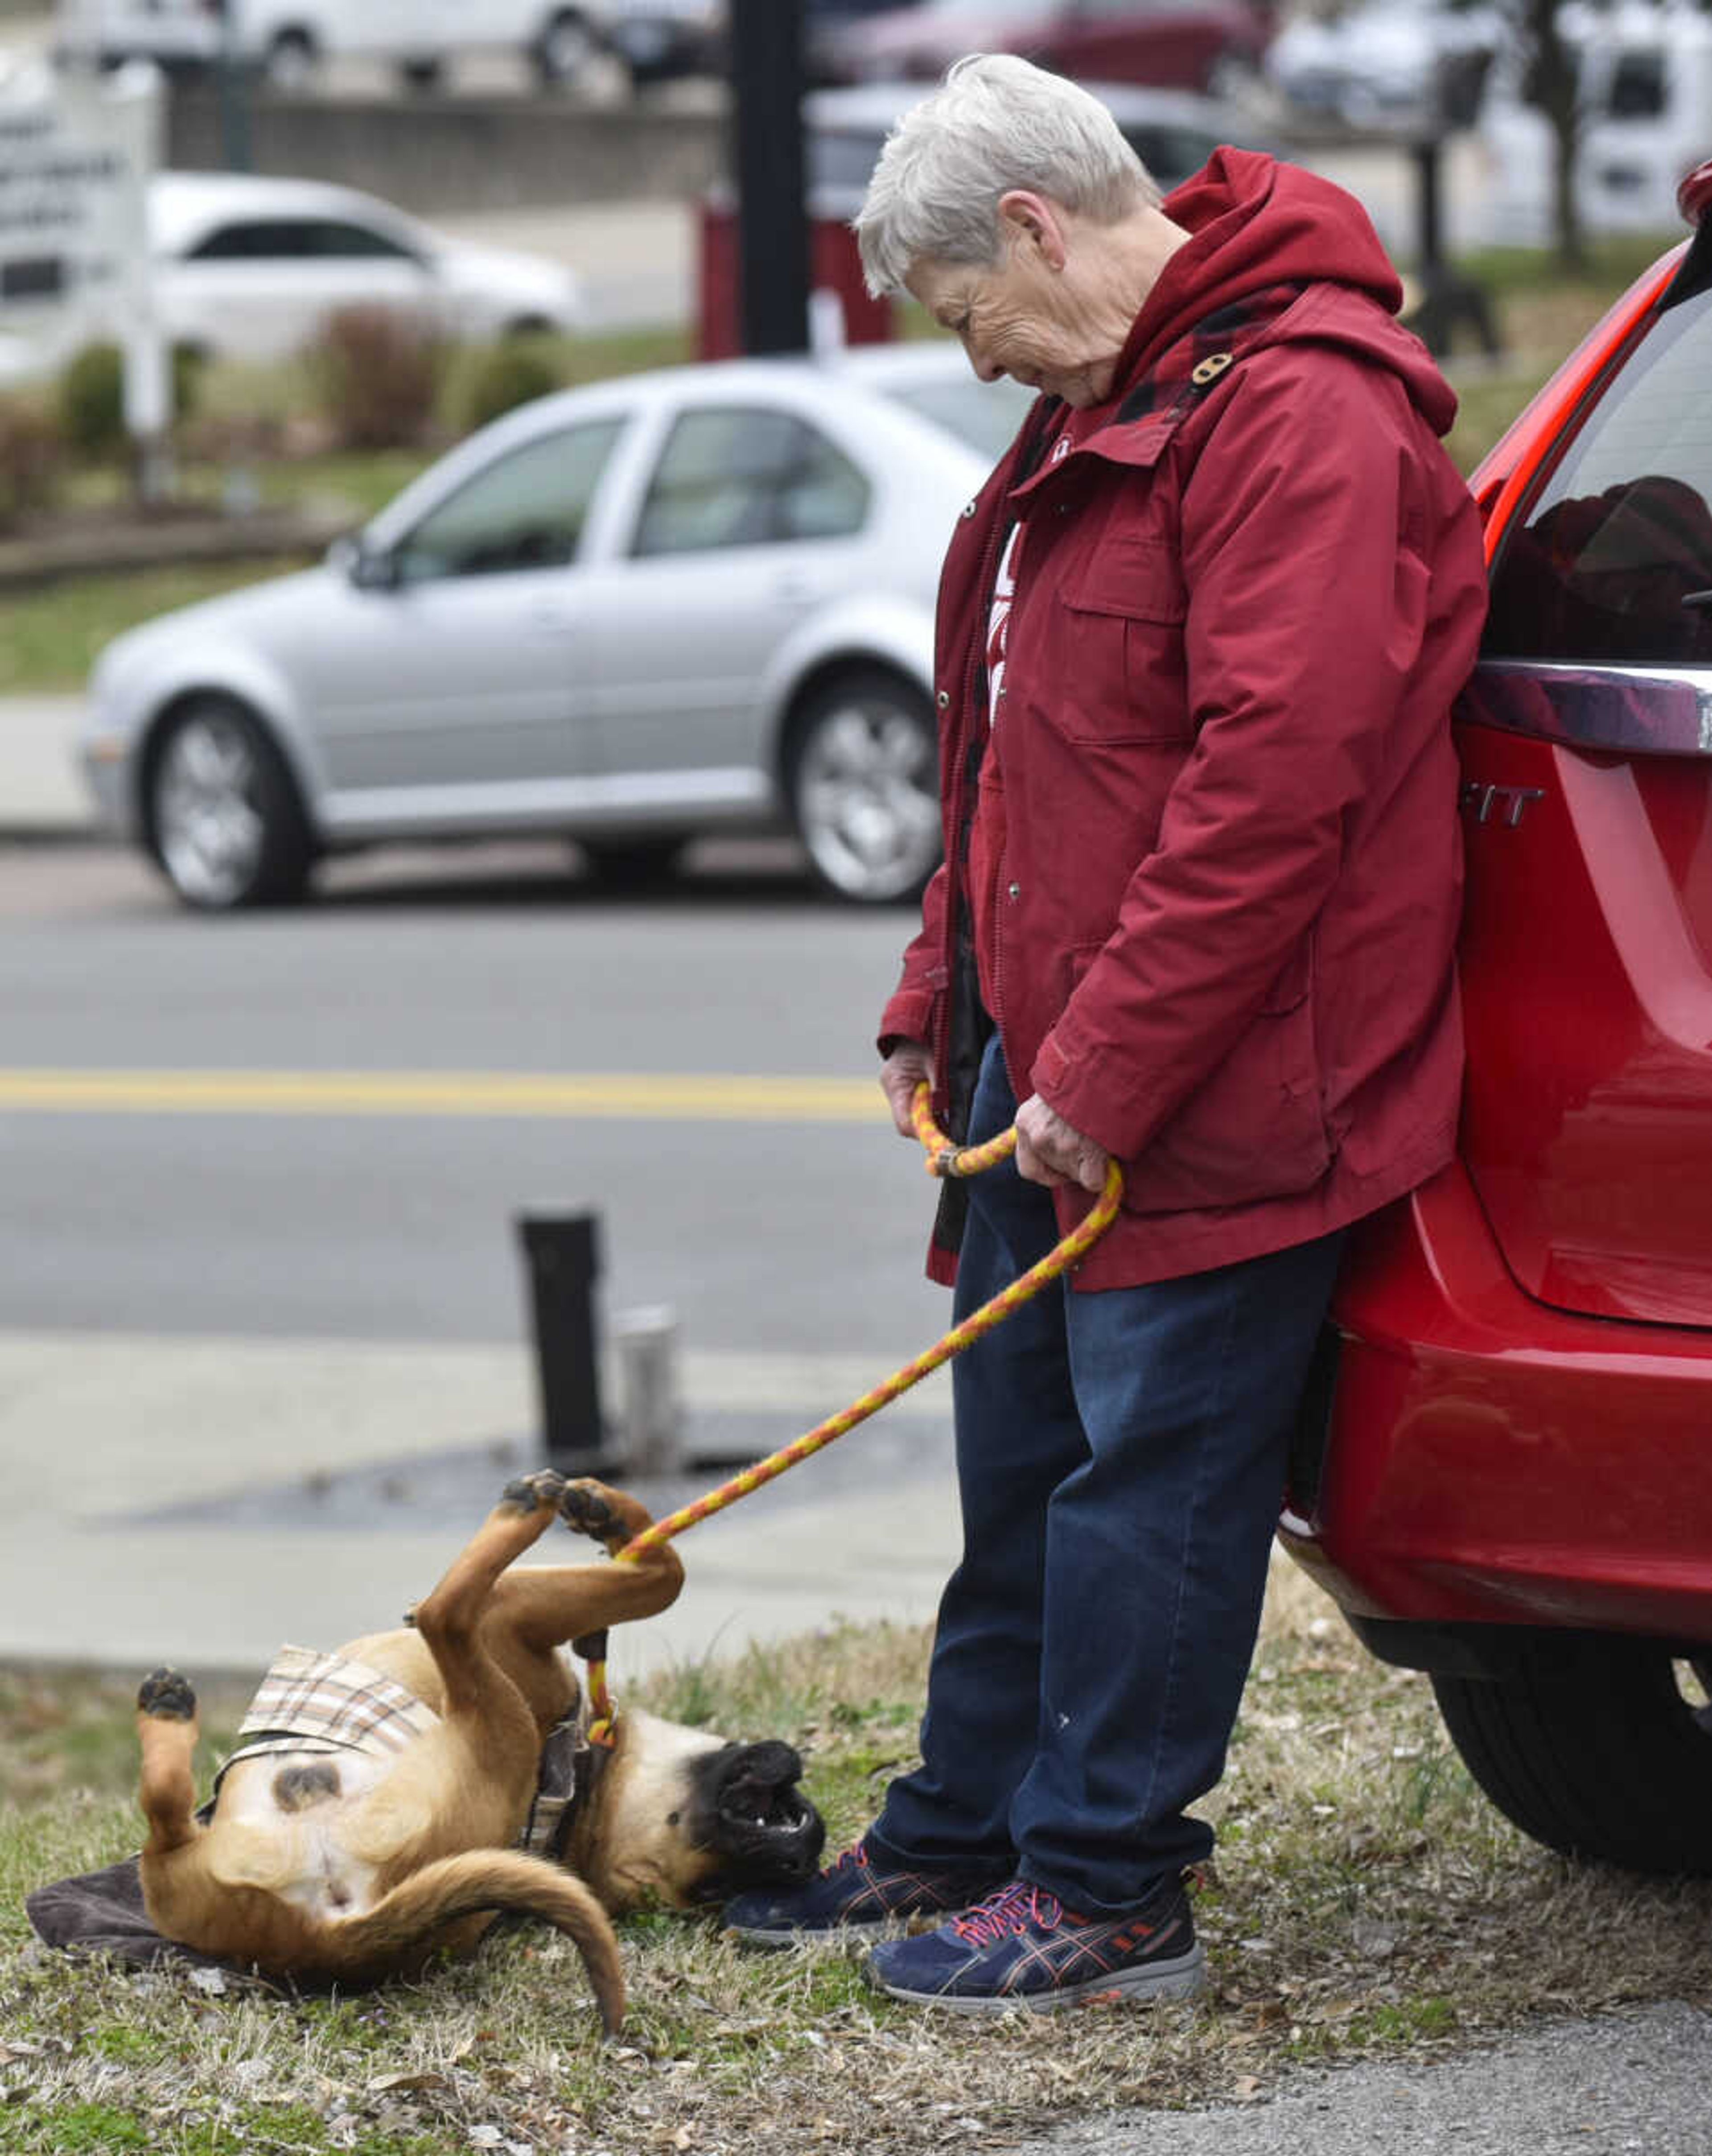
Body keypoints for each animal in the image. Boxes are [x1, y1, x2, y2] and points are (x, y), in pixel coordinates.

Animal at [132, 1475, 819, 2026]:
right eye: (718, 1885)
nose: (802, 1852)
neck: (586, 1797)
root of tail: (330, 1934)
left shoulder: (513, 1611)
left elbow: (665, 1580)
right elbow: (656, 1574)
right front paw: (607, 1513)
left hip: (495, 1722)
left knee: (448, 1615)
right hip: (174, 1876)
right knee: (165, 1821)